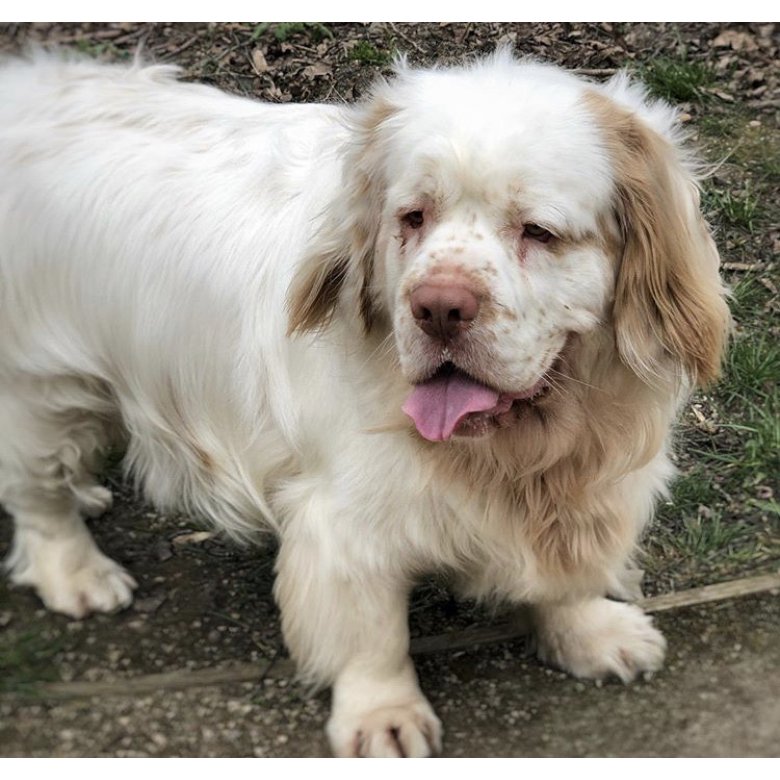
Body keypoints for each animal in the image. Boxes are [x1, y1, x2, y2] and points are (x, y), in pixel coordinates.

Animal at [1, 50, 732, 756]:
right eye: (413, 218)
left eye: (539, 231)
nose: (438, 306)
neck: (518, 450)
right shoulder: (346, 523)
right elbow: (369, 632)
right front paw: (383, 716)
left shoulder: (588, 486)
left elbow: (567, 573)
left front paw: (589, 632)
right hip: (41, 392)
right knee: (38, 497)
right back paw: (77, 573)